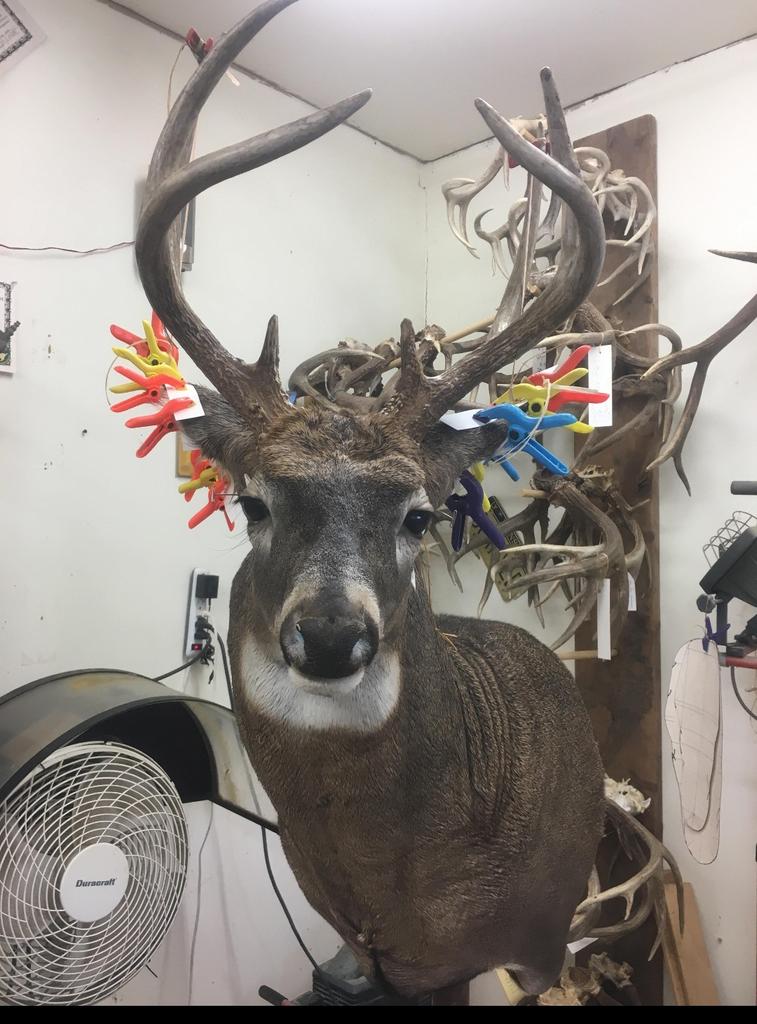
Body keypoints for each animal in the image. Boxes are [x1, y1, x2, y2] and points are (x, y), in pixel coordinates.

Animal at [134, 0, 680, 1000]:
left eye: (418, 515)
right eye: (253, 503)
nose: (330, 635)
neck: (396, 888)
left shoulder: (521, 941)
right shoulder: (364, 951)